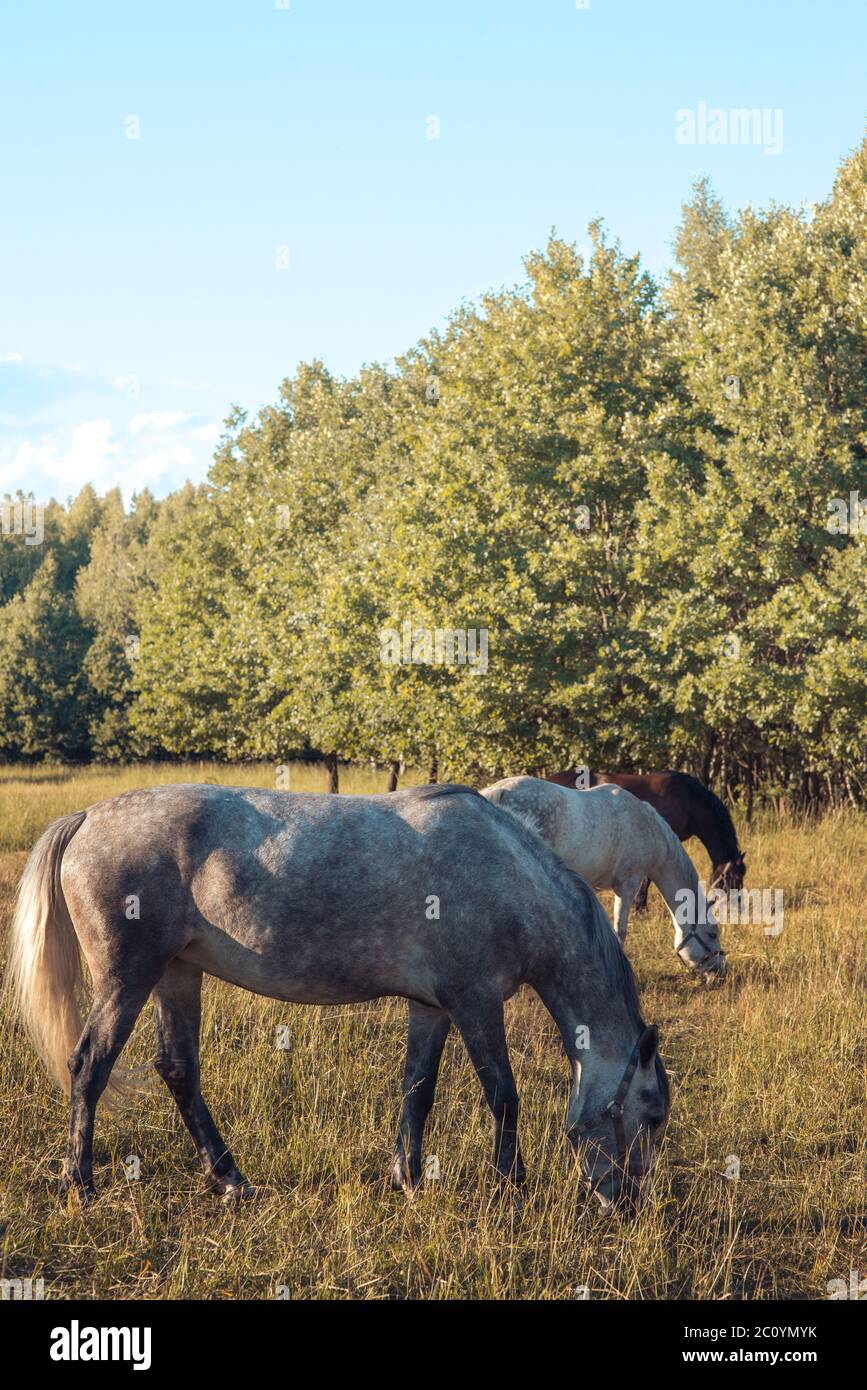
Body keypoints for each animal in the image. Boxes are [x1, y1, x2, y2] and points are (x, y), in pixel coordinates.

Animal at [6, 782, 669, 1213]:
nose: (626, 1203)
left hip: (176, 974)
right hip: (130, 978)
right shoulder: (476, 1004)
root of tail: (87, 817)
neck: (506, 875)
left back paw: (230, 1179)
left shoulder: (431, 1008)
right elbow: (504, 1097)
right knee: (89, 1067)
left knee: (178, 1070)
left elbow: (418, 1091)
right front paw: (512, 1186)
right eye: (653, 1113)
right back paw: (82, 1184)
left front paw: (409, 1178)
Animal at [481, 777, 727, 979]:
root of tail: (498, 793)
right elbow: (620, 930)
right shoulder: (627, 884)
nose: (720, 971)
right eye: (712, 933)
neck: (647, 826)